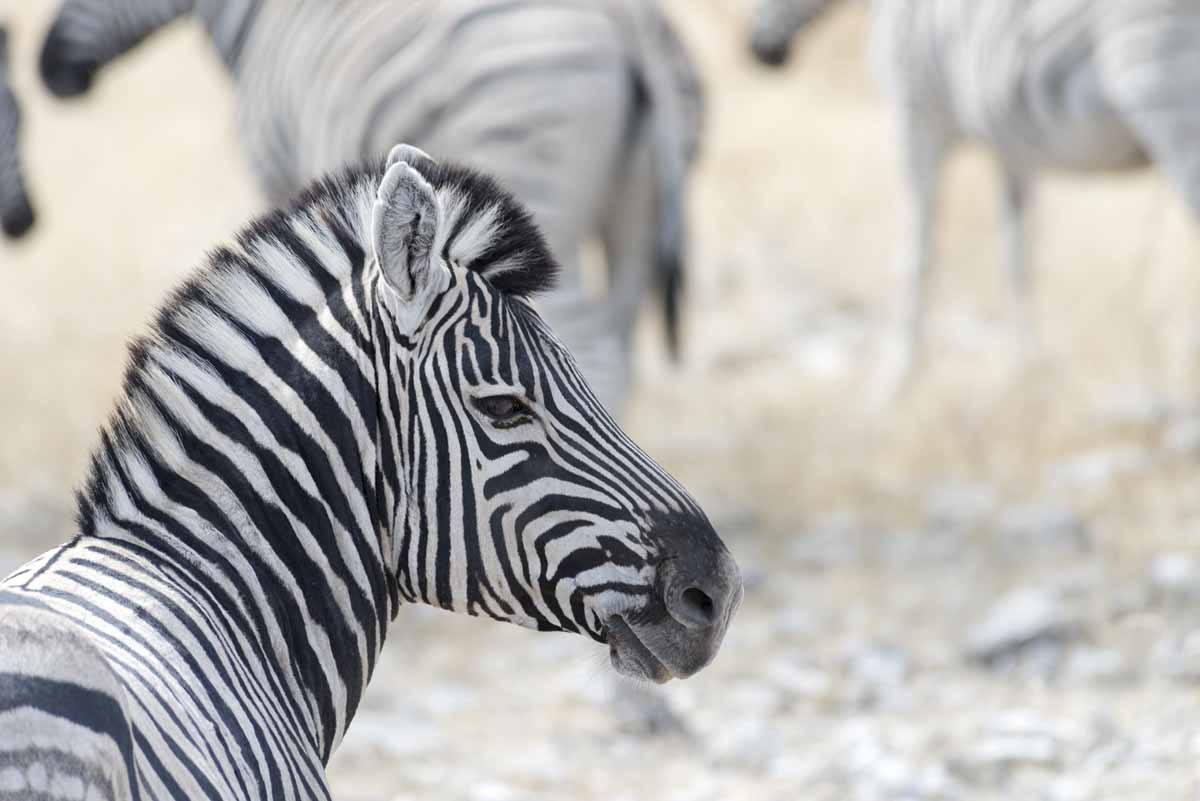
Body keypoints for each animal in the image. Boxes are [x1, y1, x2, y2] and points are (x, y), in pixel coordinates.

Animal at [35, 0, 700, 412]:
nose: (51, 73)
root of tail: (631, 22)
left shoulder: (278, 167)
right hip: (634, 205)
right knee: (620, 340)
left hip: (532, 166)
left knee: (590, 341)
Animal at [744, 0, 1200, 388]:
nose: (760, 53)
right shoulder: (1010, 145)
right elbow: (1016, 257)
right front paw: (1026, 367)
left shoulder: (917, 118)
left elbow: (916, 256)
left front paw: (897, 376)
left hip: (1167, 107)